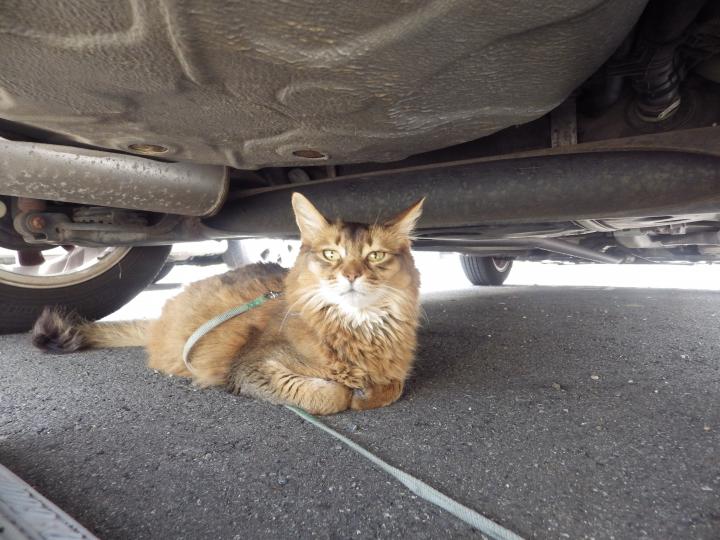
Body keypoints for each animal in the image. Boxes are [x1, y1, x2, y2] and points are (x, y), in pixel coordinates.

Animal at [33, 193, 424, 414]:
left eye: (375, 256)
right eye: (331, 254)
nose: (352, 275)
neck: (357, 329)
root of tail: (162, 316)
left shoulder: (394, 374)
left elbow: (393, 387)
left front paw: (366, 391)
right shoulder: (253, 368)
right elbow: (330, 397)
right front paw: (349, 391)